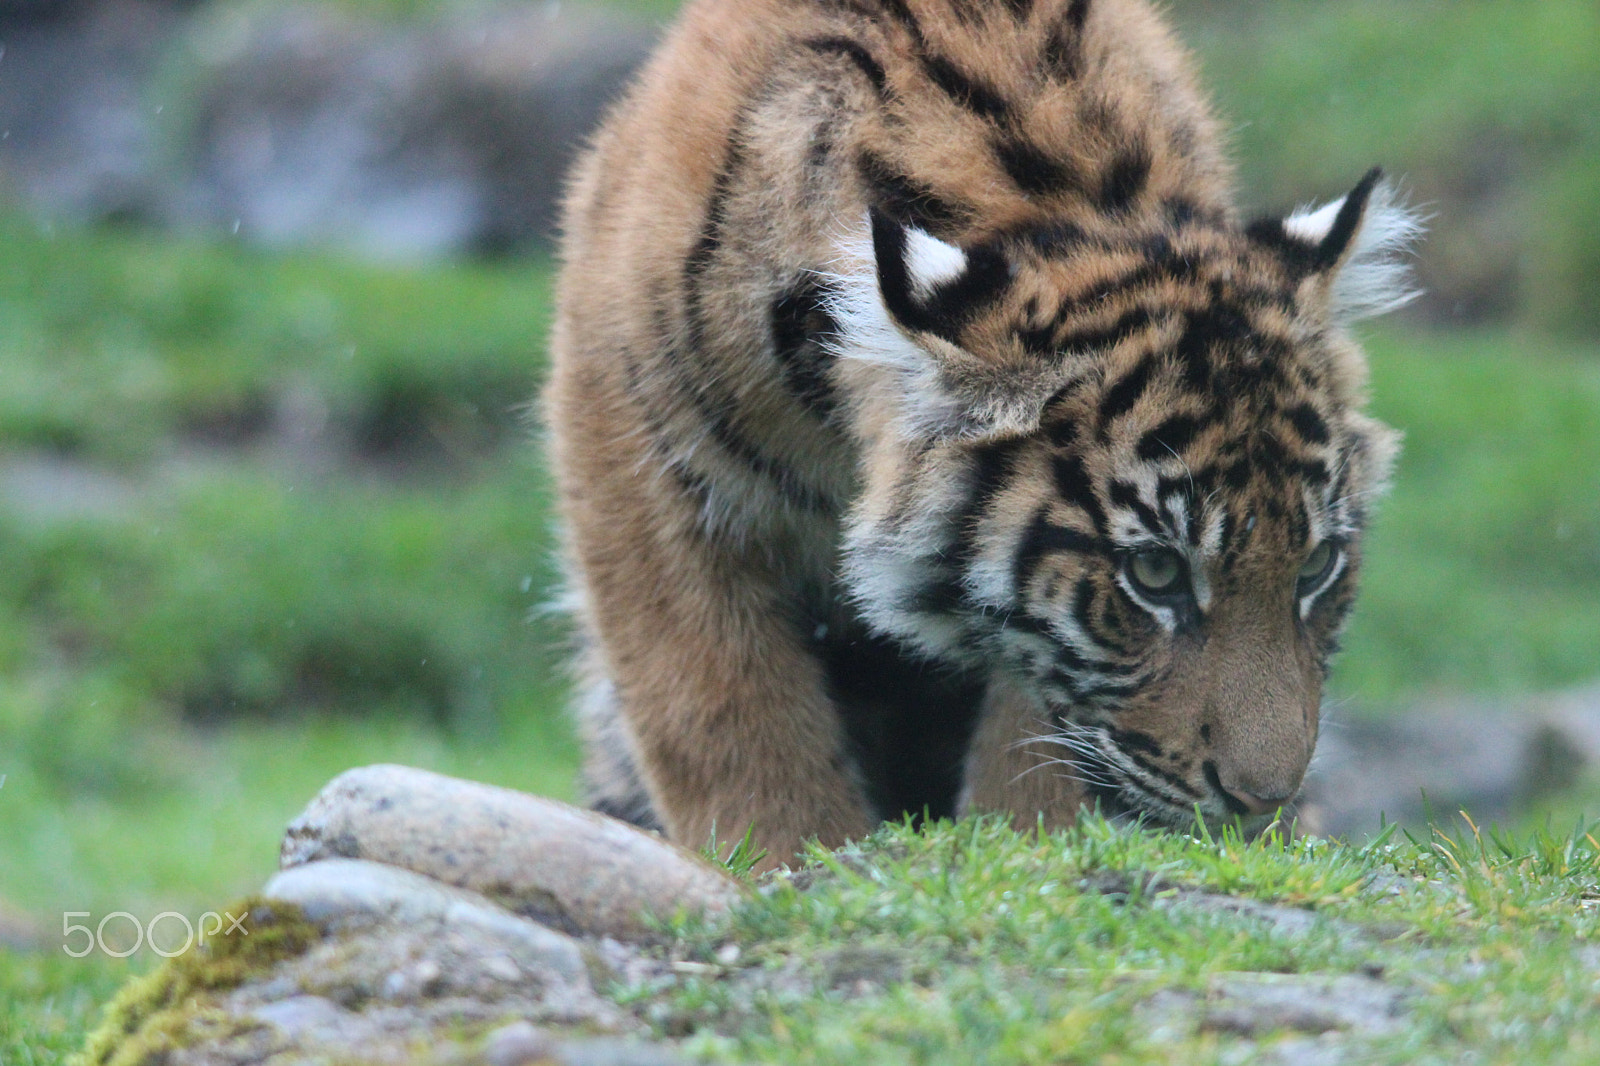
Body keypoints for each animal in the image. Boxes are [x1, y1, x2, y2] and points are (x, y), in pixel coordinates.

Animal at [546, 0, 1419, 868]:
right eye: (1157, 572)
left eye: (1317, 565)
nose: (1262, 802)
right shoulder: (641, 467)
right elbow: (725, 717)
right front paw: (789, 862)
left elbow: (1039, 739)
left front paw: (1031, 851)